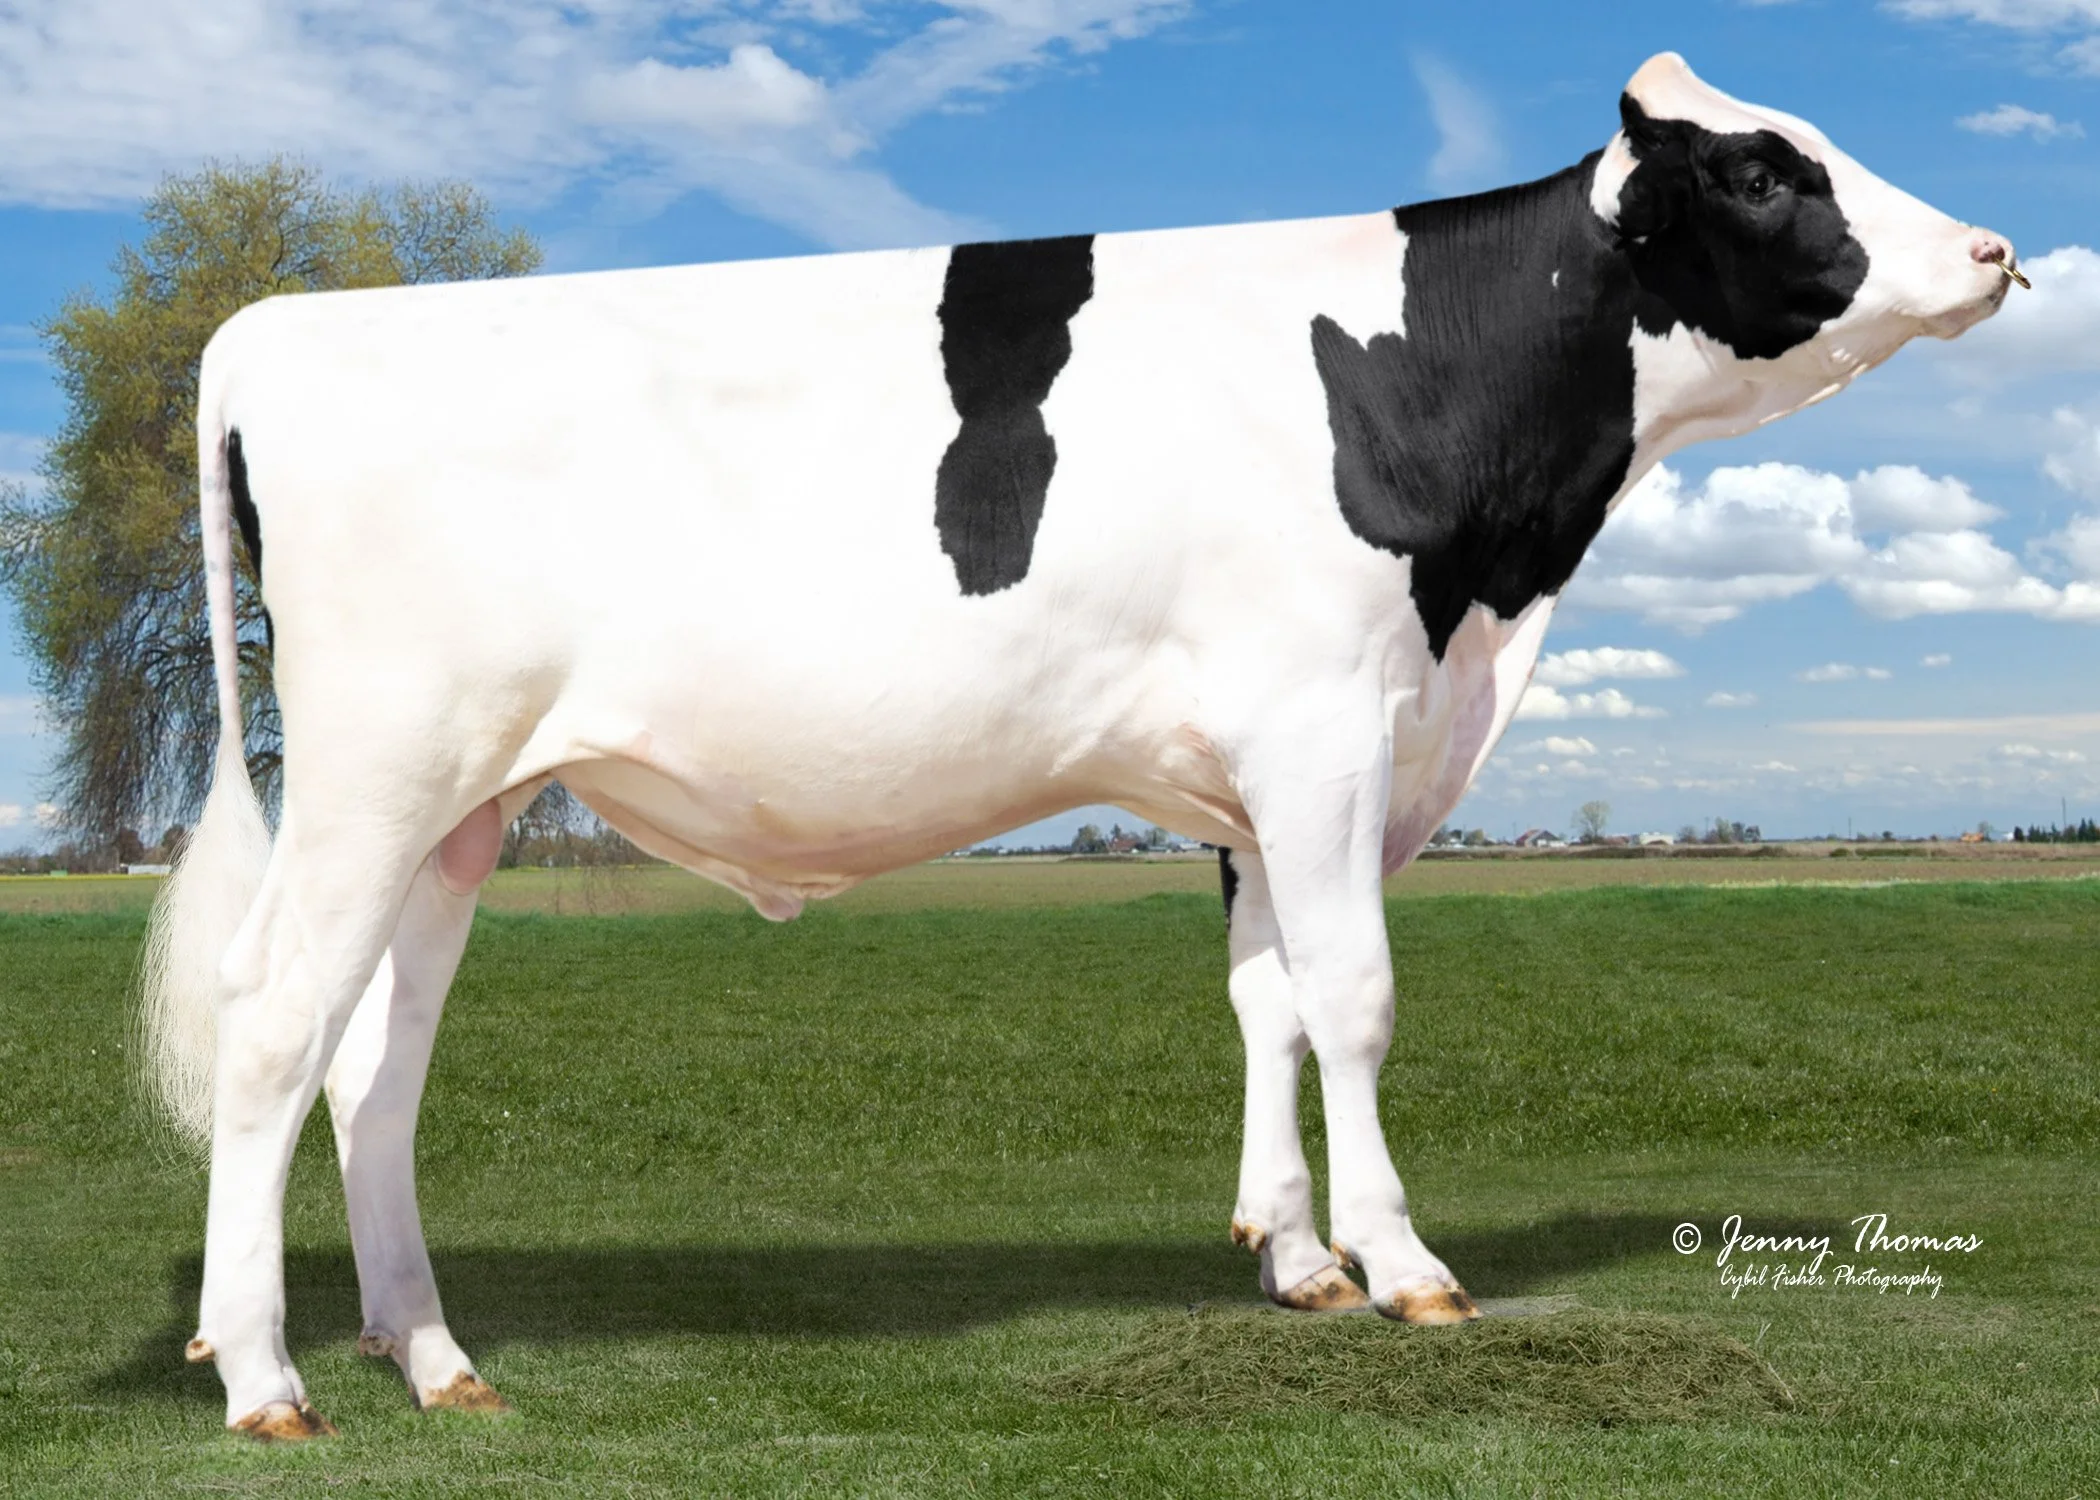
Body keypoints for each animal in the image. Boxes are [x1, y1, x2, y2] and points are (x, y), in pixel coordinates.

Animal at [143, 53, 2018, 1438]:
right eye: (1767, 172)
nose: (2001, 251)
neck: (1491, 582)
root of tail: (286, 324)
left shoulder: (1256, 770)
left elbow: (1269, 997)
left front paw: (1294, 1259)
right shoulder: (1322, 725)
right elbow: (1356, 997)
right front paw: (1403, 1266)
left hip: (462, 807)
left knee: (372, 1066)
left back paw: (433, 1359)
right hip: (377, 773)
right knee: (272, 1025)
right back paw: (266, 1377)